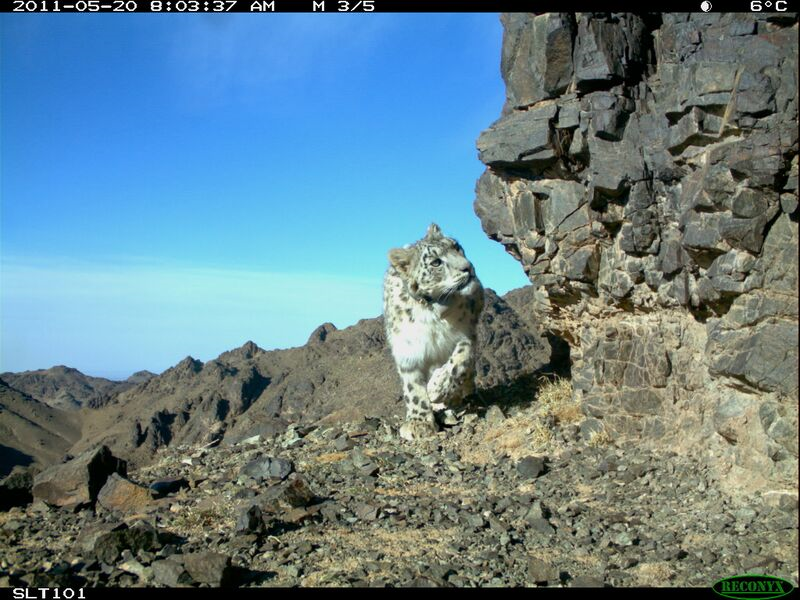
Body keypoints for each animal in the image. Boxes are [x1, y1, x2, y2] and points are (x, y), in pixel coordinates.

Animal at [383, 223, 484, 441]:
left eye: (457, 247)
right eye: (436, 262)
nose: (468, 267)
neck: (433, 312)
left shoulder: (466, 333)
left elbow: (460, 360)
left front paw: (438, 387)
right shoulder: (408, 349)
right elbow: (413, 387)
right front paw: (419, 422)